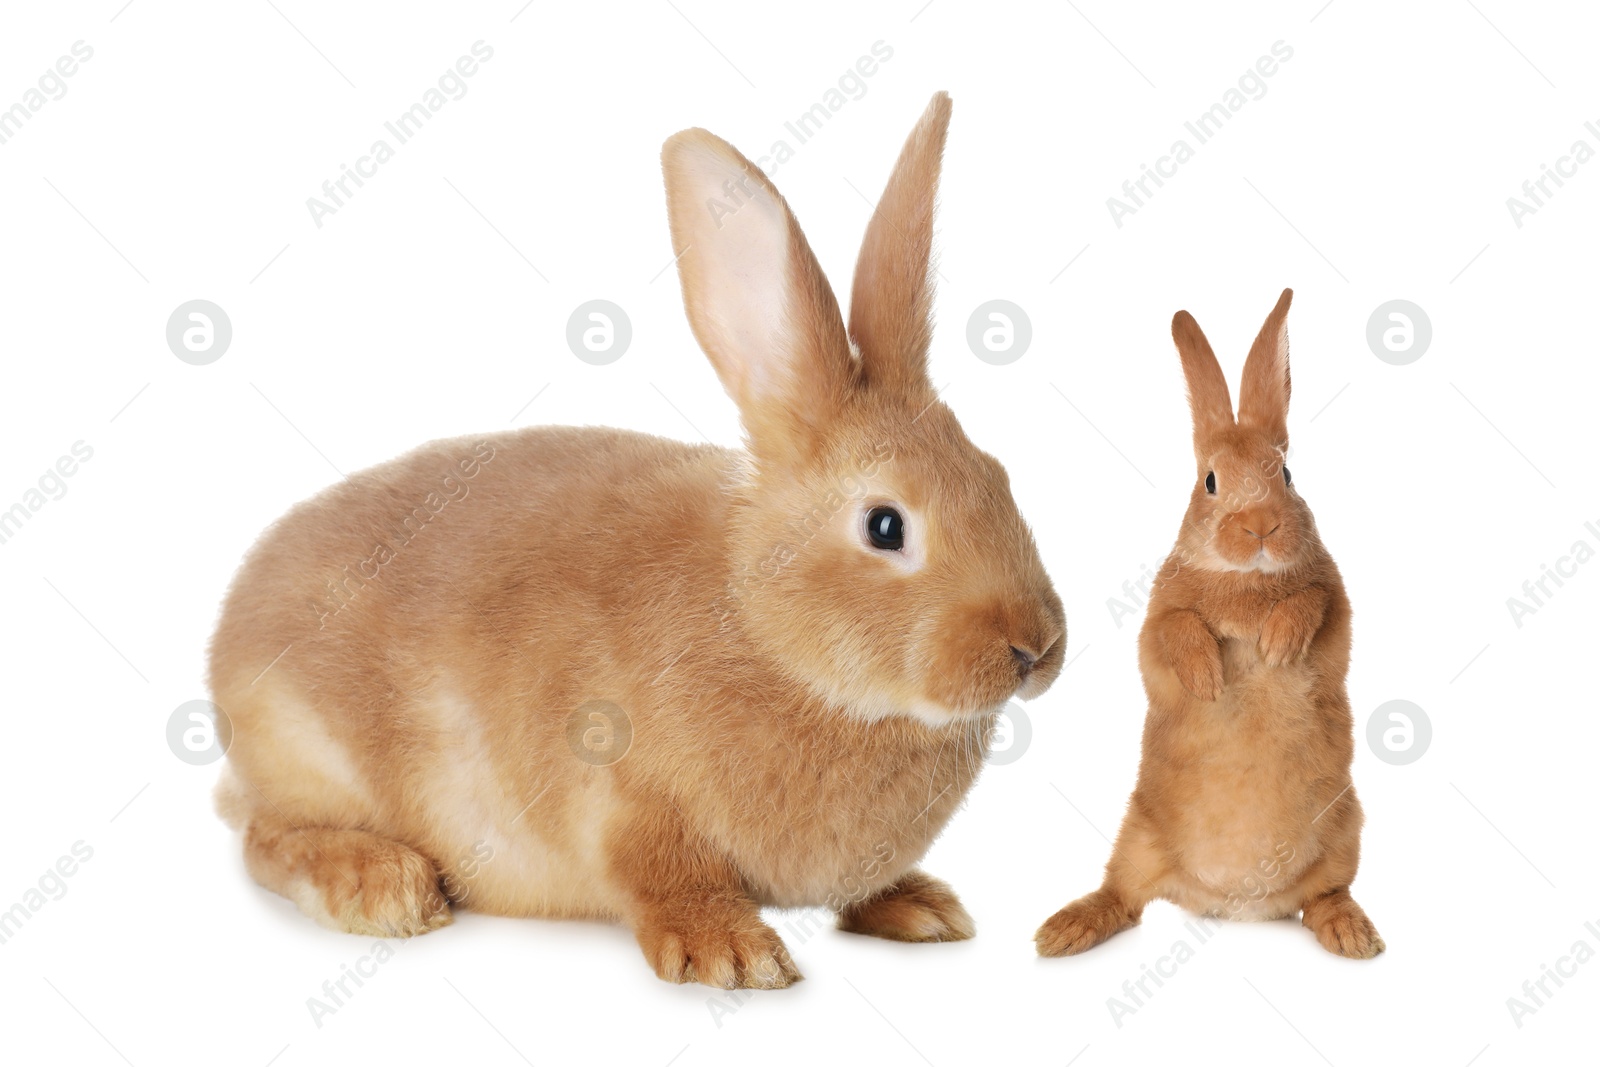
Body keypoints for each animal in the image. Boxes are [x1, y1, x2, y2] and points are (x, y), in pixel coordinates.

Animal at [209, 95, 1062, 991]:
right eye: (885, 525)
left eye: (998, 475)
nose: (1036, 647)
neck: (760, 626)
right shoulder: (623, 799)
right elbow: (661, 875)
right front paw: (733, 953)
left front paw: (919, 907)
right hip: (304, 747)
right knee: (262, 838)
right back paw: (381, 885)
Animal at [1030, 289, 1382, 959]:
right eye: (1210, 481)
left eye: (1286, 473)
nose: (1261, 526)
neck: (1244, 578)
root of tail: (1235, 903)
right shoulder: (1157, 620)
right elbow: (1175, 632)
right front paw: (1209, 679)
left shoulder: (1337, 607)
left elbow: (1313, 604)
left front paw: (1277, 645)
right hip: (1137, 837)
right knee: (1122, 896)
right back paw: (1062, 932)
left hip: (1346, 832)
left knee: (1328, 895)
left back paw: (1352, 935)